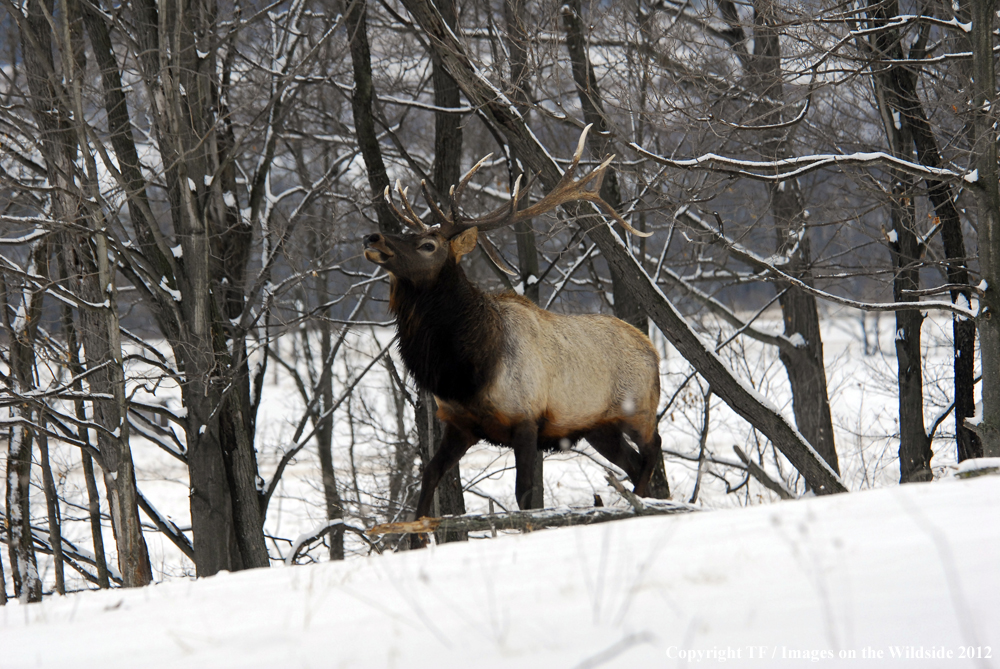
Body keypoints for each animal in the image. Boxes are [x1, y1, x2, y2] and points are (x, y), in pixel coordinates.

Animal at [364, 124, 668, 532]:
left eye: (427, 244)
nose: (373, 237)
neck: (465, 368)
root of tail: (652, 348)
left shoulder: (526, 418)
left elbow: (525, 495)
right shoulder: (460, 424)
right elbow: (428, 478)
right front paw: (415, 535)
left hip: (639, 410)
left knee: (653, 451)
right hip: (598, 427)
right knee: (634, 463)